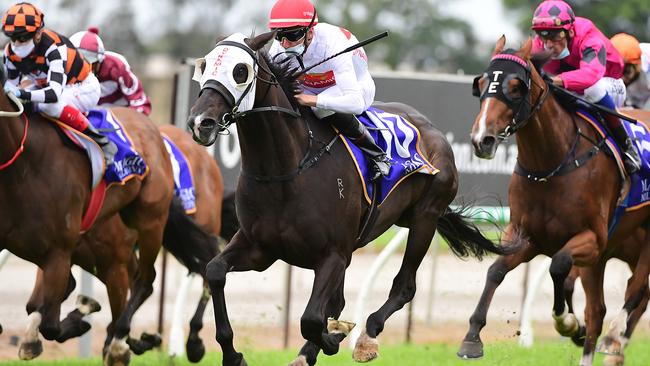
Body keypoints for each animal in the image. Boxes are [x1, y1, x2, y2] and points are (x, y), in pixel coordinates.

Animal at [0, 62, 173, 360]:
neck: (21, 168)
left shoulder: (59, 252)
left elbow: (50, 326)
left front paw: (83, 316)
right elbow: (42, 311)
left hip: (149, 222)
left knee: (145, 279)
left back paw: (120, 339)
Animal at [185, 31, 508, 366]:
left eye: (240, 71)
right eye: (204, 66)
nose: (200, 122)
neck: (286, 170)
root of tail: (433, 130)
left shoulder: (333, 254)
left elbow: (312, 319)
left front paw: (331, 340)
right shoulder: (260, 248)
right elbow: (214, 271)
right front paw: (233, 354)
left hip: (425, 218)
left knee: (403, 287)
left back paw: (366, 337)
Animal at [456, 35, 648, 364]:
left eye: (516, 87)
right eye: (480, 84)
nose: (482, 140)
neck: (550, 166)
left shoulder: (591, 238)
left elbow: (558, 266)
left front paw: (567, 322)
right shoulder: (527, 236)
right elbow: (496, 271)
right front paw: (472, 338)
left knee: (636, 290)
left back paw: (614, 337)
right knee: (598, 310)